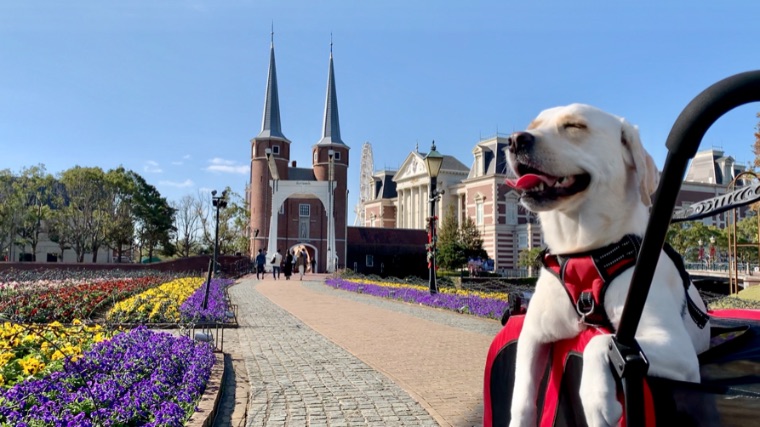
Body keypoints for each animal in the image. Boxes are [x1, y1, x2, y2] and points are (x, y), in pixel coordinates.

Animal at [504, 104, 712, 427]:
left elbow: (602, 341)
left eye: (575, 126)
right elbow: (522, 394)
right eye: (534, 124)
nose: (514, 140)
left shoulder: (676, 348)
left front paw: (596, 398)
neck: (583, 250)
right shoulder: (533, 332)